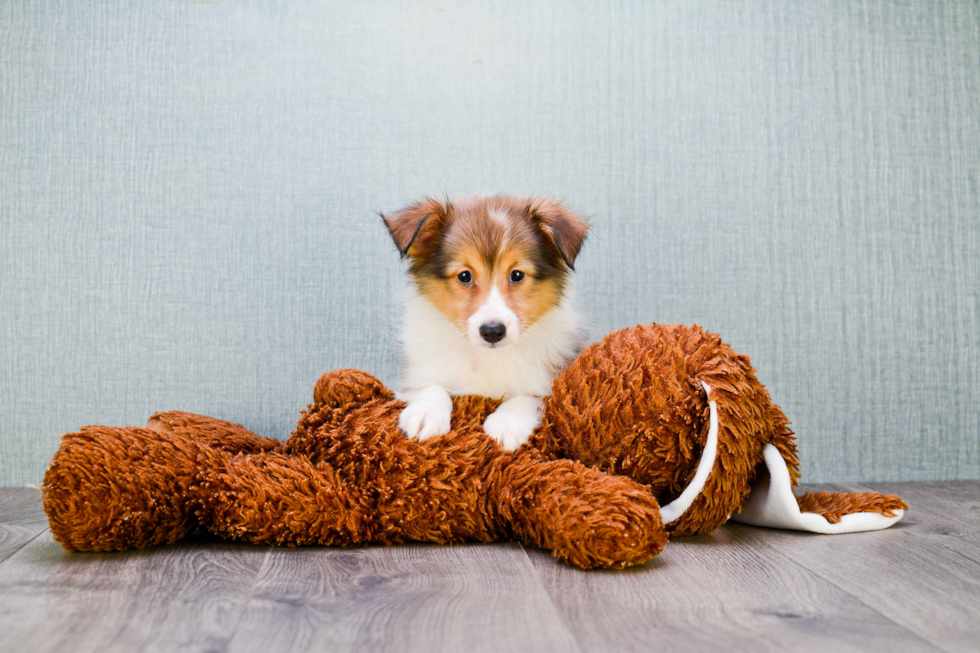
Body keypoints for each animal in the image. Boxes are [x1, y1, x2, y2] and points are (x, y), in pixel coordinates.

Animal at [382, 194, 588, 448]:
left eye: (517, 275)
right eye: (464, 276)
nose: (492, 331)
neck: (489, 356)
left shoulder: (555, 377)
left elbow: (528, 395)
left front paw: (507, 423)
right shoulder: (420, 370)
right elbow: (430, 385)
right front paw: (425, 413)